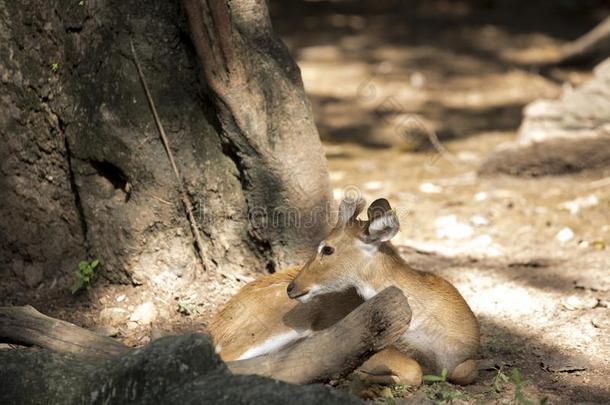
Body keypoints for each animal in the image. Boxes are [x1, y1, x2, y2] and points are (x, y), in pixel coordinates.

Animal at [209, 196, 480, 386]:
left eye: (327, 249)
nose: (293, 287)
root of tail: (219, 324)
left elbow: (465, 372)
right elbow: (412, 370)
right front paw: (362, 377)